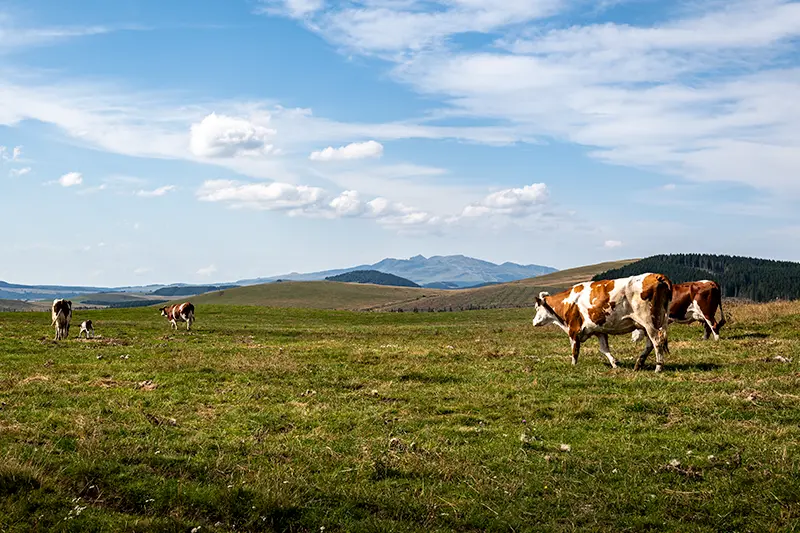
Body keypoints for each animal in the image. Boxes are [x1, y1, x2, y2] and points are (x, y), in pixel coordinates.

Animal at [536, 272, 672, 372]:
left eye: (537, 308)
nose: (534, 321)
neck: (568, 301)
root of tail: (656, 275)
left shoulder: (573, 329)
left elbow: (575, 349)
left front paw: (573, 365)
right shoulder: (599, 330)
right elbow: (604, 348)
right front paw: (614, 363)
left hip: (649, 323)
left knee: (657, 342)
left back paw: (658, 368)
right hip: (654, 322)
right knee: (650, 344)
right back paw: (639, 363)